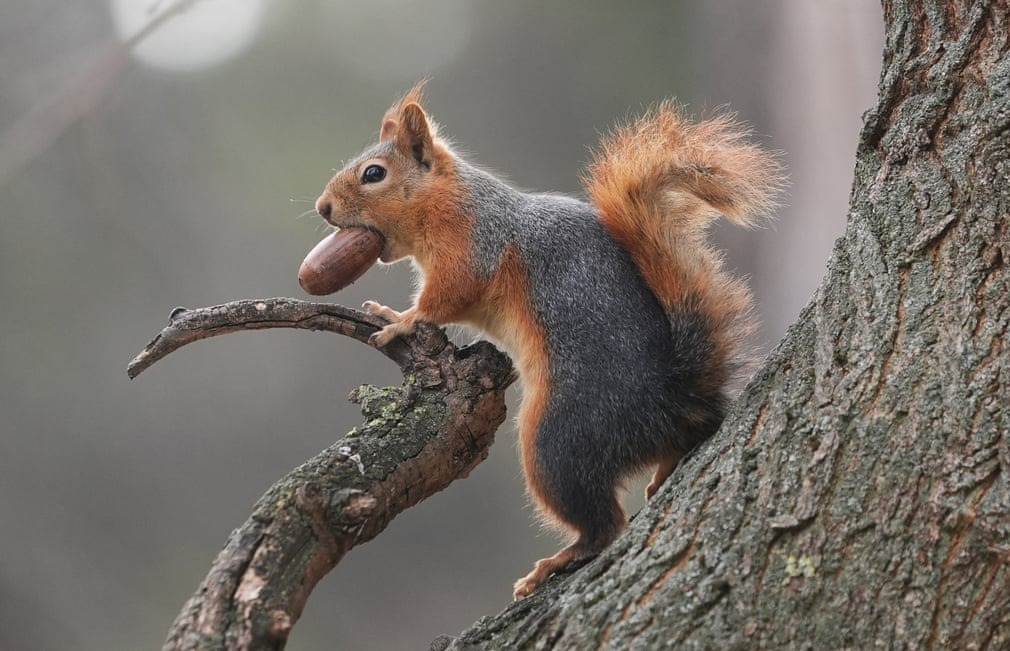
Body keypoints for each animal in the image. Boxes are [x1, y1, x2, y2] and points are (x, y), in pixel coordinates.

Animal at [313, 83, 779, 597]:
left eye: (374, 174)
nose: (323, 208)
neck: (449, 199)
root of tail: (675, 400)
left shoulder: (472, 246)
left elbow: (446, 297)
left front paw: (398, 318)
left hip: (558, 439)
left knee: (602, 523)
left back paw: (554, 563)